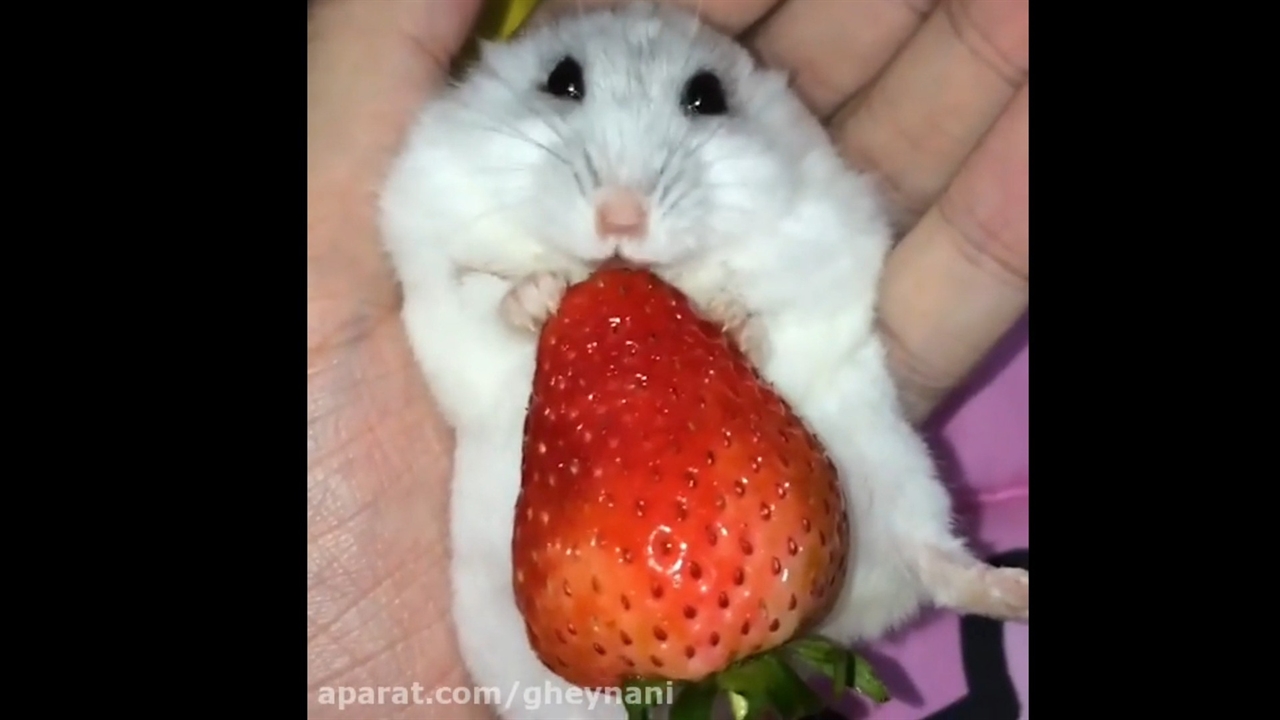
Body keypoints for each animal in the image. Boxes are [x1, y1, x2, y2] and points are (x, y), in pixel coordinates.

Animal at [379, 3, 1028, 719]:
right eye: (561, 80)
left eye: (707, 96)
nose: (621, 219)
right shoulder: (434, 280)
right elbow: (483, 297)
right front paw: (541, 294)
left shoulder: (827, 250)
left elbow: (773, 306)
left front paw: (727, 316)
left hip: (895, 469)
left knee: (935, 562)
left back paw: (1014, 591)